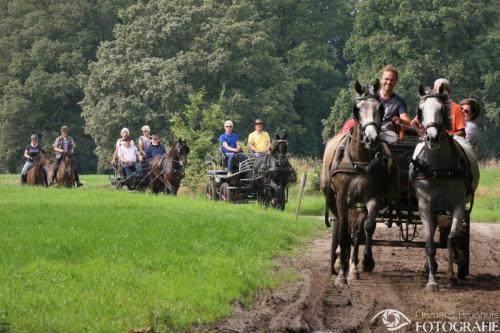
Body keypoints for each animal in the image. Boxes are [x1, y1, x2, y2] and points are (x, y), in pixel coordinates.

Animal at [412, 84, 478, 290]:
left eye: (441, 109)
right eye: (420, 111)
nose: (432, 138)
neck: (438, 169)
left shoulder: (458, 206)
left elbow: (451, 239)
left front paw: (451, 277)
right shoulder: (425, 207)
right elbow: (429, 243)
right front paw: (432, 281)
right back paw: (430, 266)